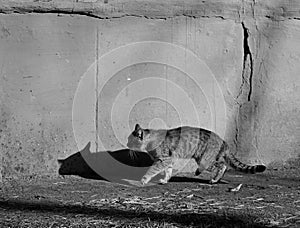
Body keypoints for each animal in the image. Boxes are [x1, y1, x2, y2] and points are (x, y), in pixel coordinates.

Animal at [126, 124, 264, 184]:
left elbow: (152, 170)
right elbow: (168, 171)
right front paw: (165, 180)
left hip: (204, 160)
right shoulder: (169, 160)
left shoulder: (162, 159)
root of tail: (223, 141)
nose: (127, 144)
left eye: (130, 140)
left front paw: (144, 179)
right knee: (222, 164)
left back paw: (214, 179)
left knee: (222, 165)